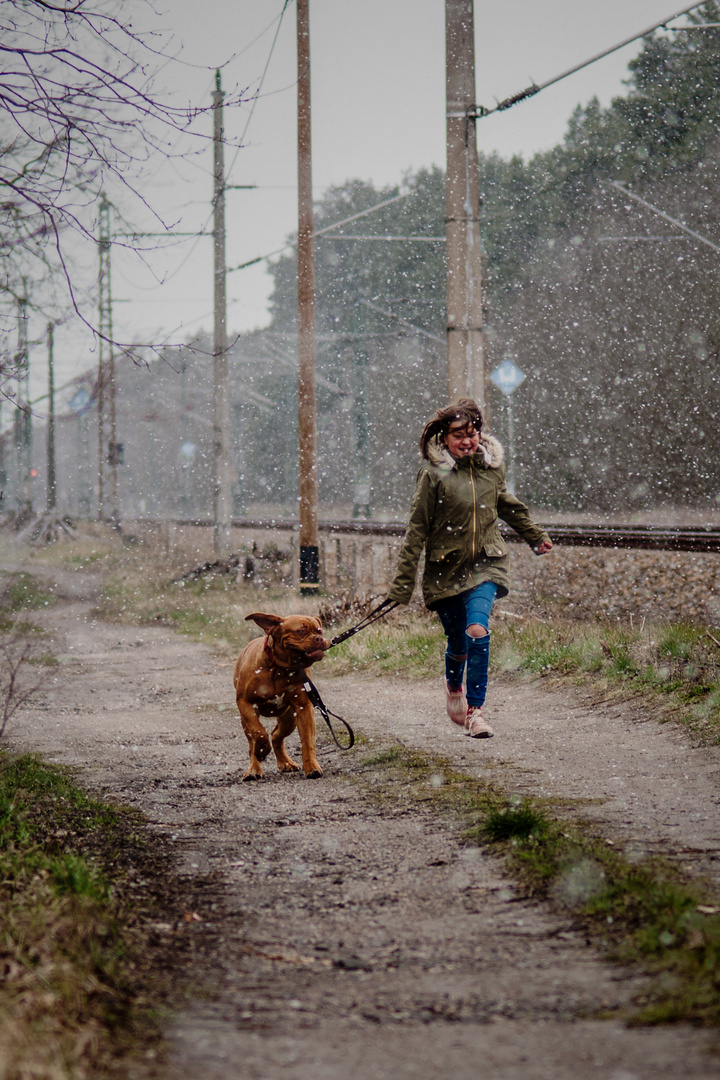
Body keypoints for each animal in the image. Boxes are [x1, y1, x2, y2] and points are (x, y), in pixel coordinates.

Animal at [232, 613, 330, 781]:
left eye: (319, 630)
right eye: (301, 631)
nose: (318, 638)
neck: (279, 668)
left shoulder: (304, 708)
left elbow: (308, 740)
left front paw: (312, 767)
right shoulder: (245, 703)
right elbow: (258, 732)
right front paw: (262, 750)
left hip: (289, 719)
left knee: (276, 735)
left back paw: (285, 763)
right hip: (245, 721)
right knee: (253, 742)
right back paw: (254, 769)